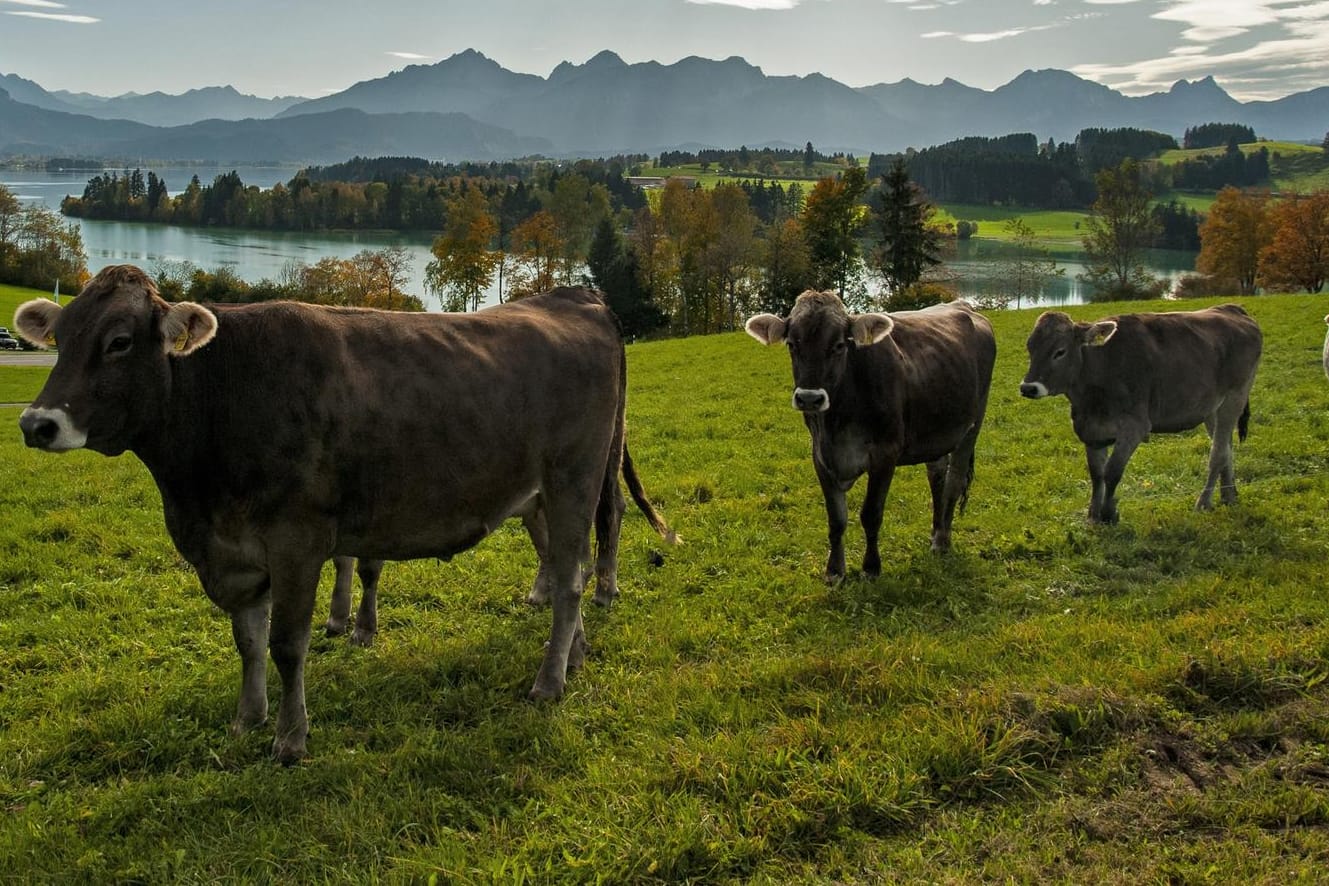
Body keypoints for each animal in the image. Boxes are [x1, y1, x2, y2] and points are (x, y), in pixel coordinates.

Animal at [15, 261, 669, 765]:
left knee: (573, 577)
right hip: (541, 493)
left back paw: (550, 680)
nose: (36, 423)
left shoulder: (297, 539)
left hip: (576, 478)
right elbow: (247, 641)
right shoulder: (235, 551)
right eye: (62, 337)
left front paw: (290, 738)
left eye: (119, 341)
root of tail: (576, 297)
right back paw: (576, 654)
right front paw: (248, 718)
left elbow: (286, 643)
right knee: (565, 567)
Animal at [749, 290, 999, 581]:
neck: (838, 421)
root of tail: (965, 308)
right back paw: (936, 531)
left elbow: (871, 514)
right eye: (791, 345)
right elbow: (836, 519)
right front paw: (835, 571)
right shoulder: (820, 456)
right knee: (937, 477)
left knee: (954, 482)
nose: (809, 398)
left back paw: (942, 541)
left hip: (972, 424)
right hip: (936, 432)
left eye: (839, 345)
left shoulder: (885, 454)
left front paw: (871, 567)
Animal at [1020, 306, 1259, 526]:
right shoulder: (1091, 430)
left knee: (1217, 453)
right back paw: (1229, 496)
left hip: (1235, 396)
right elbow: (1096, 474)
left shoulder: (1134, 426)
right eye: (1030, 348)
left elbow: (1112, 471)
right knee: (1226, 447)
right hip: (1211, 408)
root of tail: (1229, 309)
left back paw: (1203, 502)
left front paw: (1109, 514)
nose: (1028, 388)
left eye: (1060, 351)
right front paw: (1093, 516)